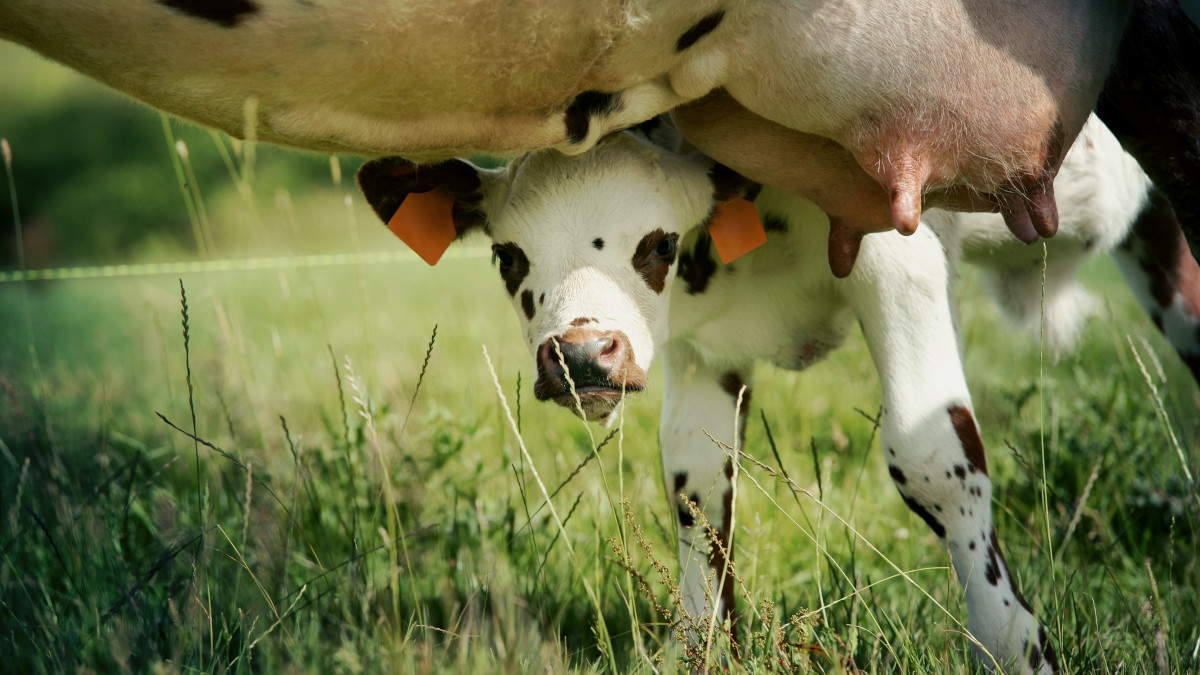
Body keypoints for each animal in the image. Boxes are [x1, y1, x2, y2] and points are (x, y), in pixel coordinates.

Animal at [353, 115, 1187, 673]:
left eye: (657, 244)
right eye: (506, 256)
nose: (584, 356)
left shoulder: (897, 251)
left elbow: (933, 459)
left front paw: (1015, 645)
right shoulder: (700, 352)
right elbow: (697, 489)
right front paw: (703, 646)